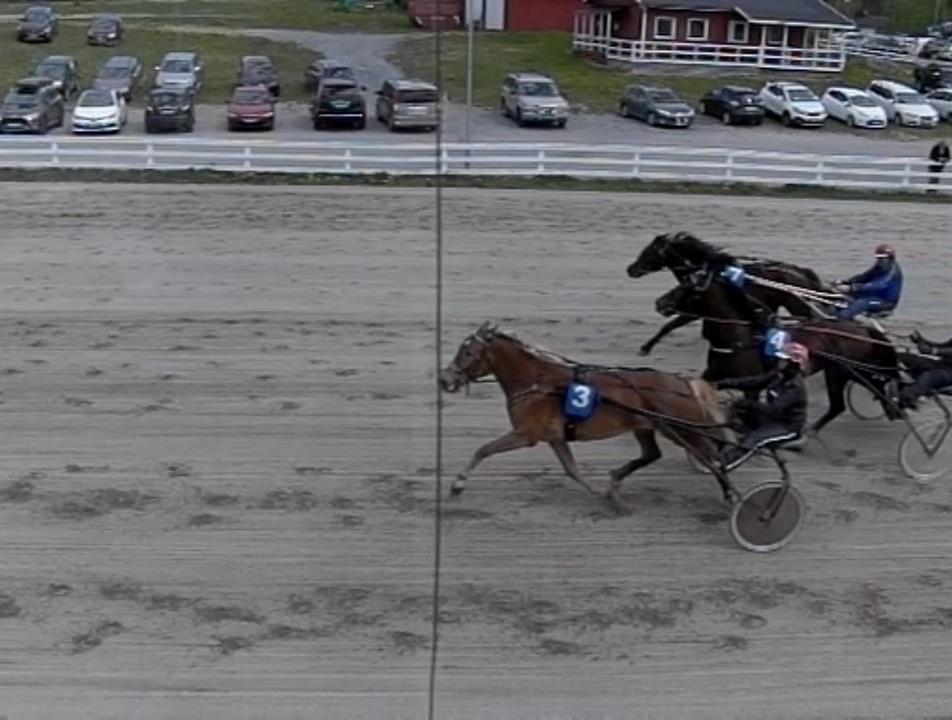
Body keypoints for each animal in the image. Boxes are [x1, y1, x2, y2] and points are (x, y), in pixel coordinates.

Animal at [442, 324, 732, 510]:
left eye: (468, 352)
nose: (445, 379)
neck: (537, 383)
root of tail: (683, 382)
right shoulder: (555, 437)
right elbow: (572, 470)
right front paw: (604, 494)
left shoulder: (525, 434)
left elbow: (483, 450)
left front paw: (457, 485)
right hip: (647, 426)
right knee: (652, 454)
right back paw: (616, 479)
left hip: (682, 430)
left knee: (714, 459)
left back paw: (730, 497)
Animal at [628, 233, 828, 358]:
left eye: (649, 253)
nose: (630, 270)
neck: (710, 272)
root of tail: (800, 272)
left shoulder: (694, 307)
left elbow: (669, 325)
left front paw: (645, 348)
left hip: (796, 304)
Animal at [656, 264, 900, 434]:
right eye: (681, 283)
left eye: (689, 289)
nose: (660, 303)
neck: (739, 339)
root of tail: (862, 329)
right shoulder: (713, 373)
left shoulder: (752, 384)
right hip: (842, 371)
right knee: (848, 400)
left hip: (844, 371)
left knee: (868, 388)